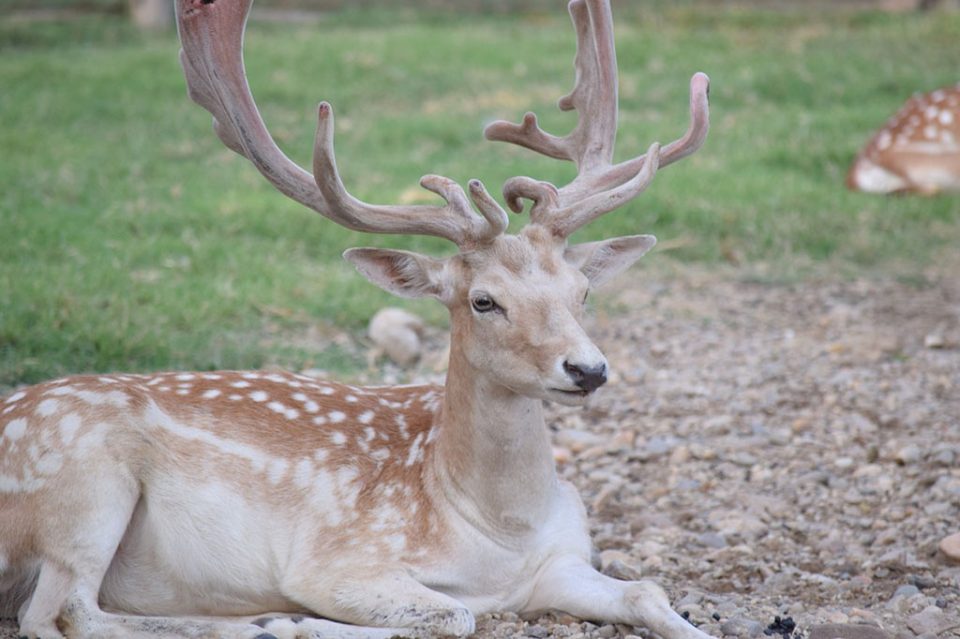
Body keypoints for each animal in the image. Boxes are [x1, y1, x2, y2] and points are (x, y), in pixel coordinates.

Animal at [1, 1, 712, 639]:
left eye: (582, 291)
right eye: (483, 300)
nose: (588, 369)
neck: (500, 534)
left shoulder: (558, 563)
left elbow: (649, 591)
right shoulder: (341, 559)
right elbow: (453, 614)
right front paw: (304, 618)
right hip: (84, 486)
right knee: (62, 612)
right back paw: (274, 623)